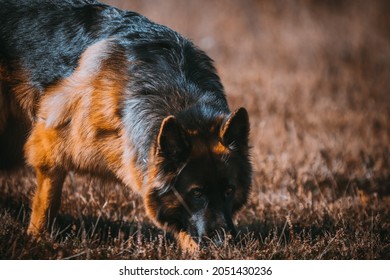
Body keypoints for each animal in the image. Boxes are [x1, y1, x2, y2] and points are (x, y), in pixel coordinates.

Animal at [0, 0, 251, 252]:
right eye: (197, 192)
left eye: (229, 191)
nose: (224, 245)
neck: (184, 103)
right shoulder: (50, 145)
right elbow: (47, 201)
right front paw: (38, 239)